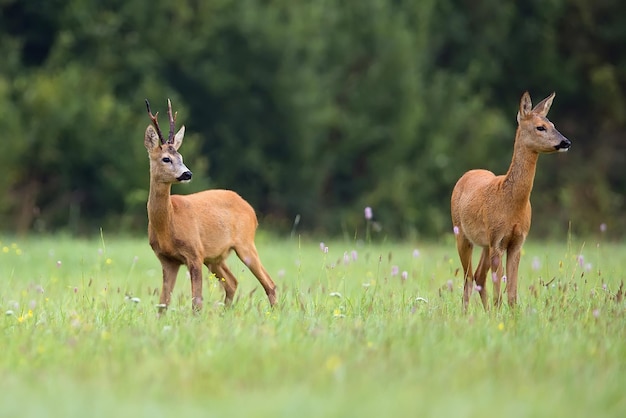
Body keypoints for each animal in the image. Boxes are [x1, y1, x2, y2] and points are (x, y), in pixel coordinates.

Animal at [145, 99, 276, 314]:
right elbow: (163, 303)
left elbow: (196, 302)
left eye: (181, 157)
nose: (187, 174)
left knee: (269, 283)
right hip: (215, 257)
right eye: (166, 158)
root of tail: (250, 208)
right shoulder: (167, 259)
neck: (168, 223)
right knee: (232, 282)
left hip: (245, 243)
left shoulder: (194, 252)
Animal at [448, 91, 572, 310]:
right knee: (468, 278)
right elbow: (499, 294)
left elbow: (512, 295)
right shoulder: (497, 240)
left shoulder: (517, 241)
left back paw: (486, 313)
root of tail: (467, 174)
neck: (511, 202)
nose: (566, 142)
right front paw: (499, 315)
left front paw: (511, 316)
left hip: (485, 244)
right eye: (540, 127)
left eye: (553, 124)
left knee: (479, 276)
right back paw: (466, 313)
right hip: (461, 233)